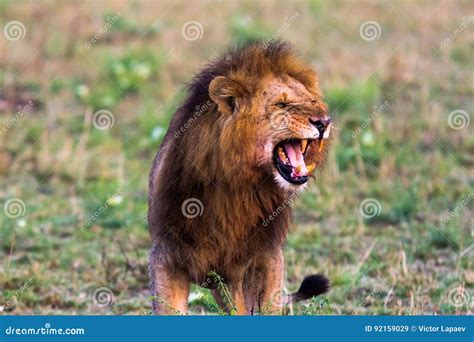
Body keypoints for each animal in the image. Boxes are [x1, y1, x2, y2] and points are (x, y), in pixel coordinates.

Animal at [147, 40, 330, 316]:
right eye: (281, 105)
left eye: (312, 100)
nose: (324, 122)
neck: (237, 183)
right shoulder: (167, 255)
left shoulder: (263, 258)